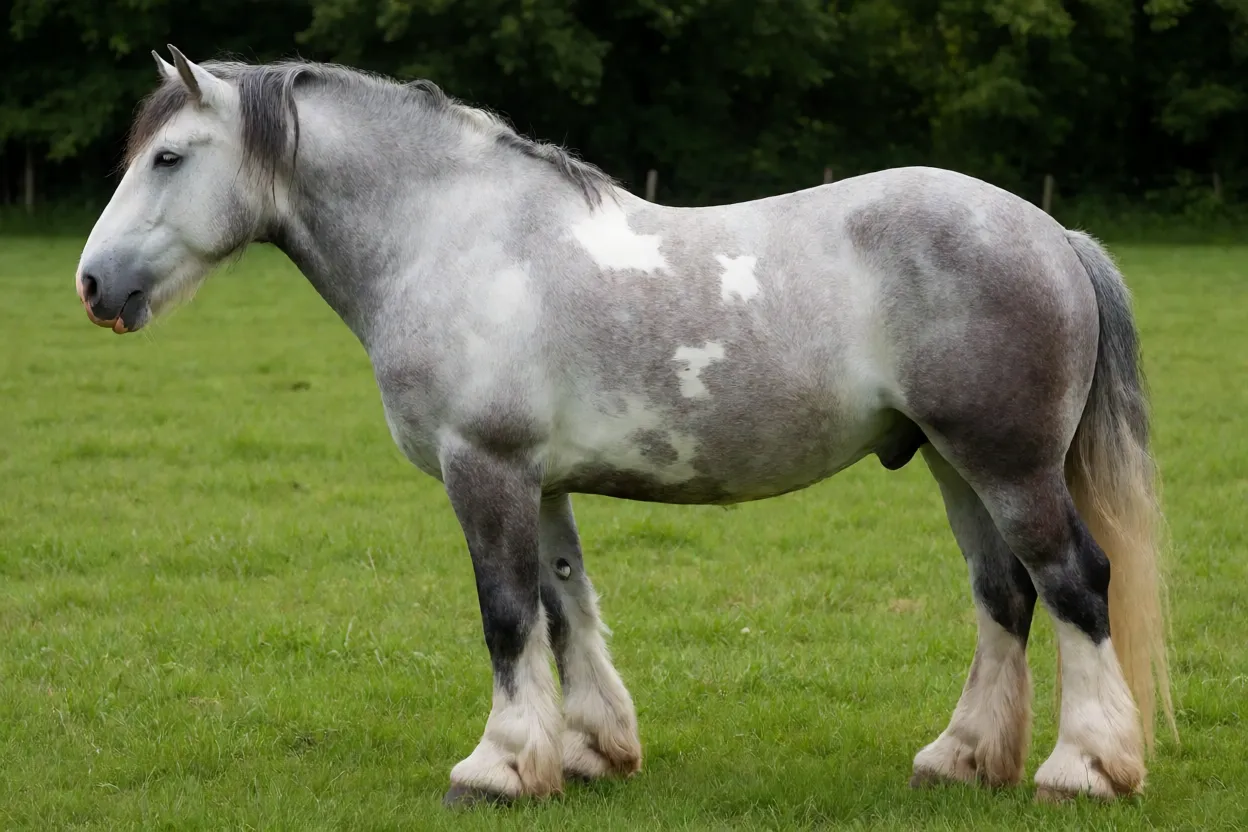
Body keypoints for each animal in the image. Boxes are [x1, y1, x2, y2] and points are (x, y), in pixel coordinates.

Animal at [76, 46, 1176, 806]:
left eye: (168, 157)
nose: (92, 285)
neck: (459, 237)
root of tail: (1050, 233)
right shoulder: (540, 481)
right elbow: (564, 606)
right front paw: (588, 749)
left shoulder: (485, 468)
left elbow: (506, 613)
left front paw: (497, 766)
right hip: (957, 465)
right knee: (1004, 595)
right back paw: (962, 756)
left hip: (1009, 466)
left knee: (1075, 583)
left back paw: (1084, 767)